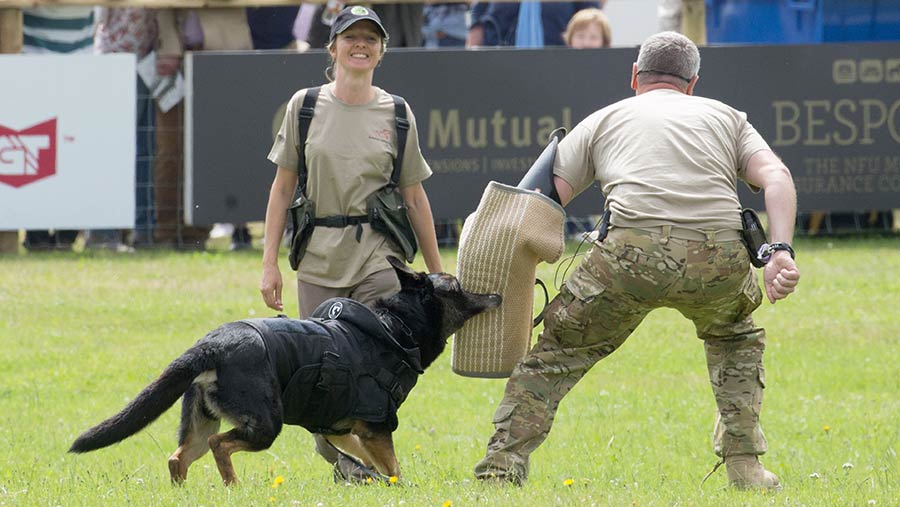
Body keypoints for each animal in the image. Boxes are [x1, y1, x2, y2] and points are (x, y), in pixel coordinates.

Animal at [71, 260, 502, 486]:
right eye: (459, 285)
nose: (497, 294)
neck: (397, 326)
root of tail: (211, 345)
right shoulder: (377, 427)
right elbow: (393, 469)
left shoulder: (341, 429)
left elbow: (369, 462)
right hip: (264, 424)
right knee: (219, 446)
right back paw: (234, 488)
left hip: (201, 422)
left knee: (179, 457)